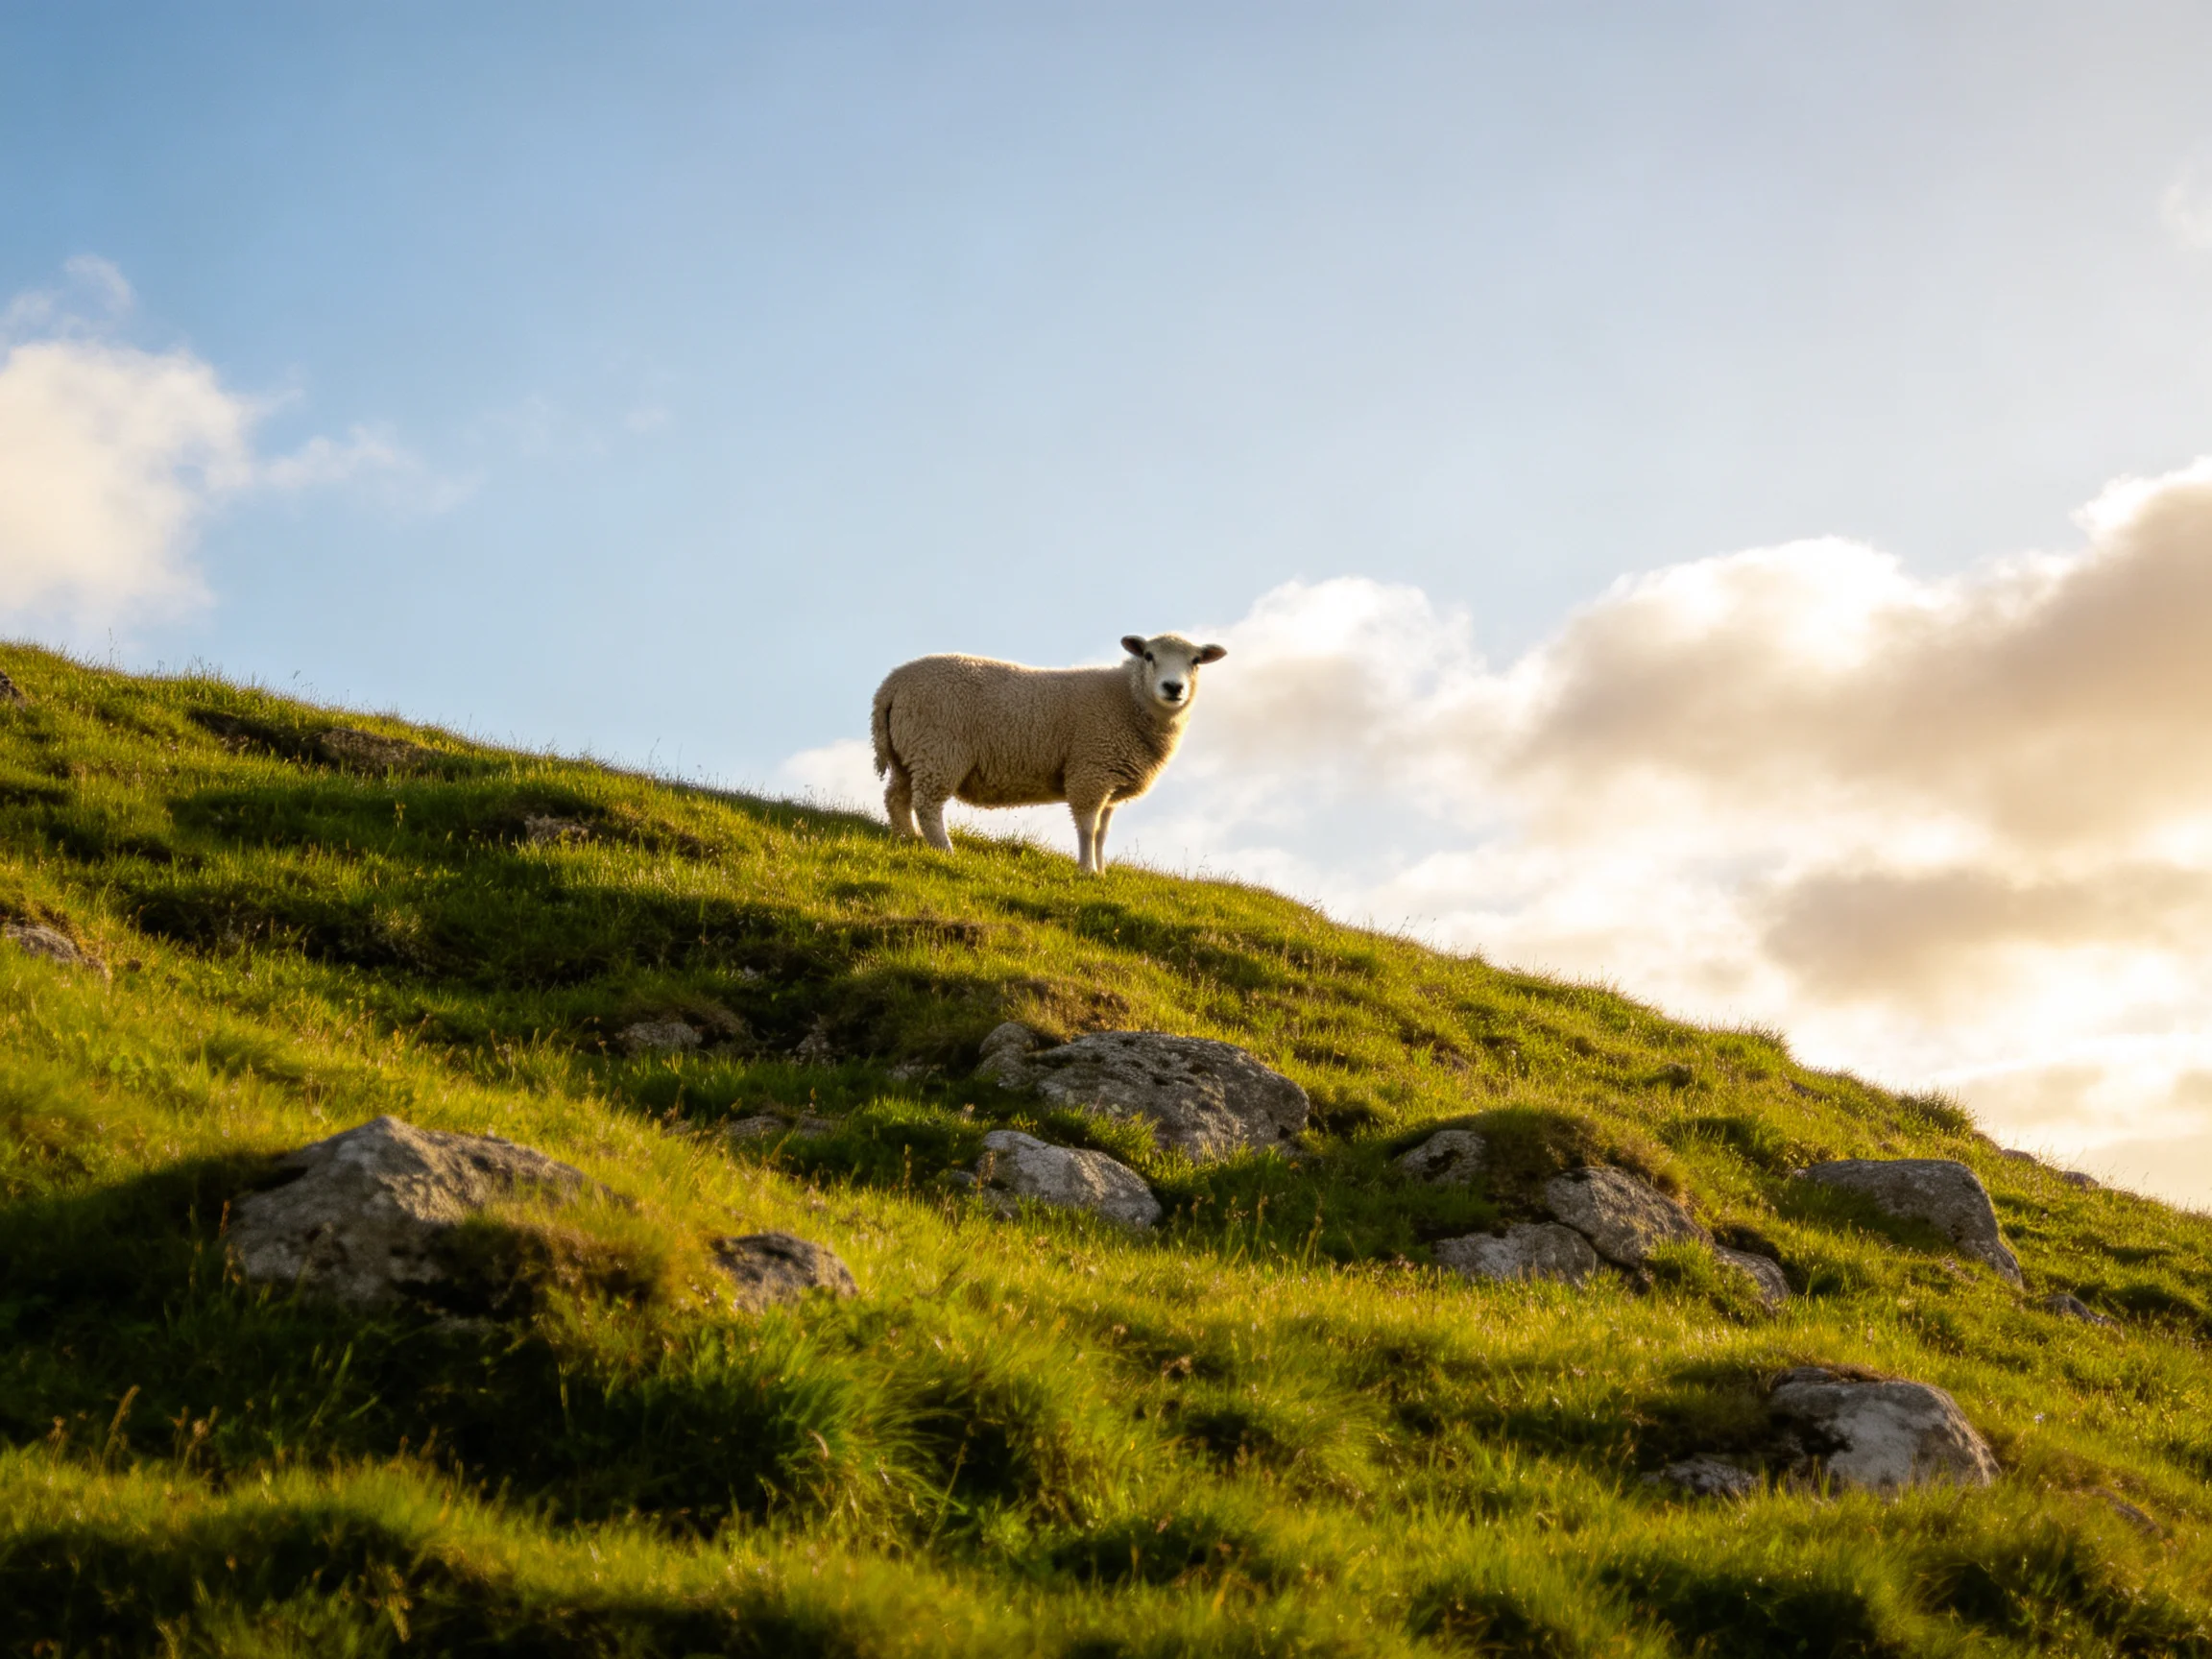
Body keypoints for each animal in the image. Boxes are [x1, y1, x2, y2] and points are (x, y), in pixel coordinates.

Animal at [871, 633, 1227, 873]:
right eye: (1149, 656)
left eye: (1195, 661)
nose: (1173, 687)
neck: (1128, 699)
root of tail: (891, 683)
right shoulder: (1090, 772)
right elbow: (1087, 828)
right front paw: (1086, 871)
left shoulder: (1110, 781)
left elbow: (1102, 833)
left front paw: (1102, 873)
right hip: (939, 750)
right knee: (927, 805)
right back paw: (944, 850)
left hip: (910, 752)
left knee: (896, 798)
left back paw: (906, 839)